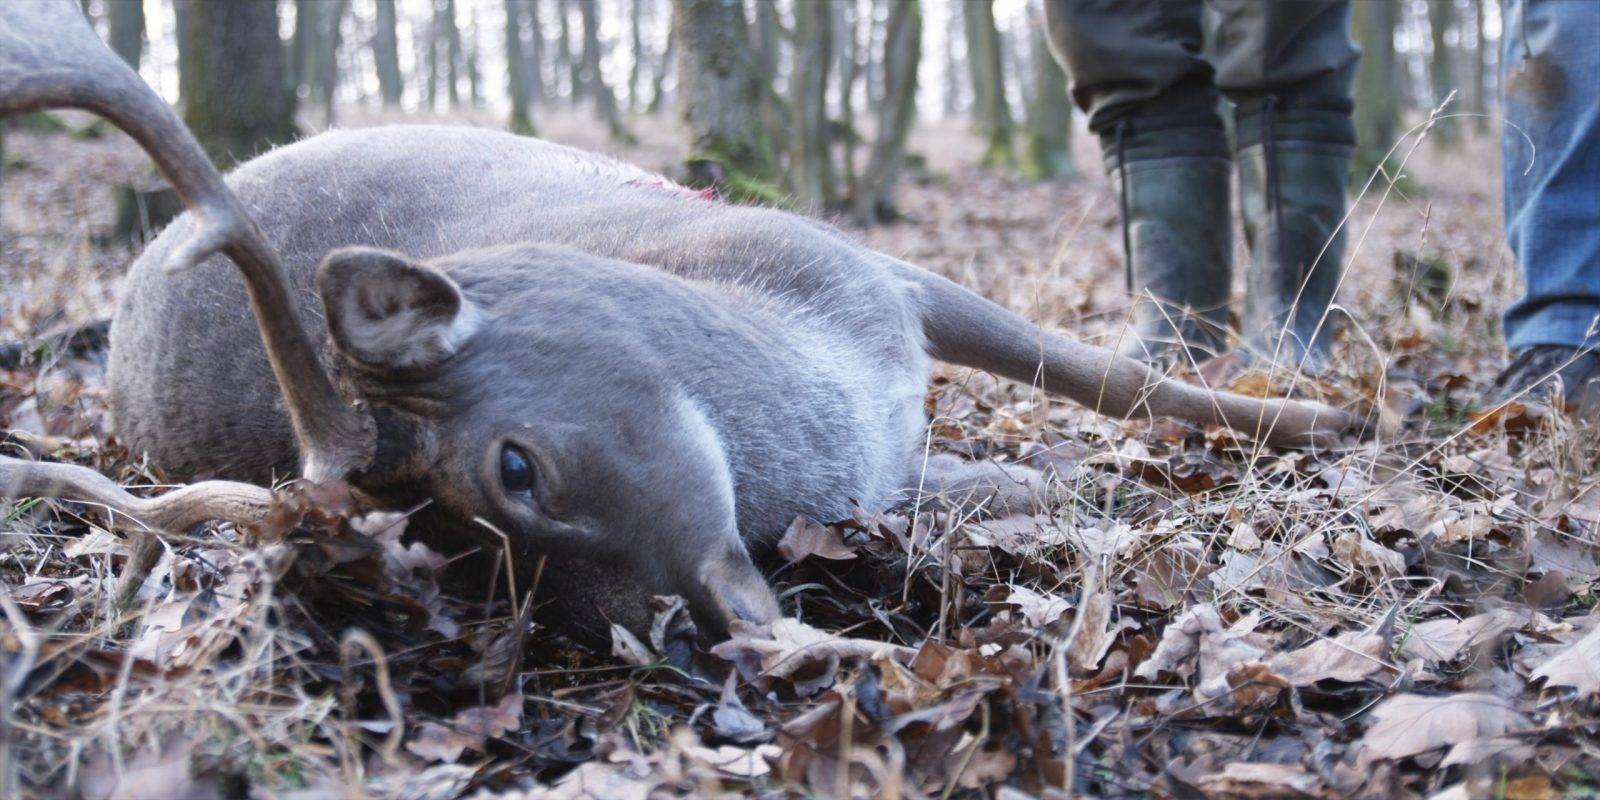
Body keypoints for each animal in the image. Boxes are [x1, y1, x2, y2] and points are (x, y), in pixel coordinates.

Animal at [0, 0, 1356, 636]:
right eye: (458, 551)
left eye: (513, 467)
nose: (692, 623)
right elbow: (1007, 474)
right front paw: (1059, 484)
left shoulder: (878, 271)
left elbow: (1118, 377)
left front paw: (1332, 419)